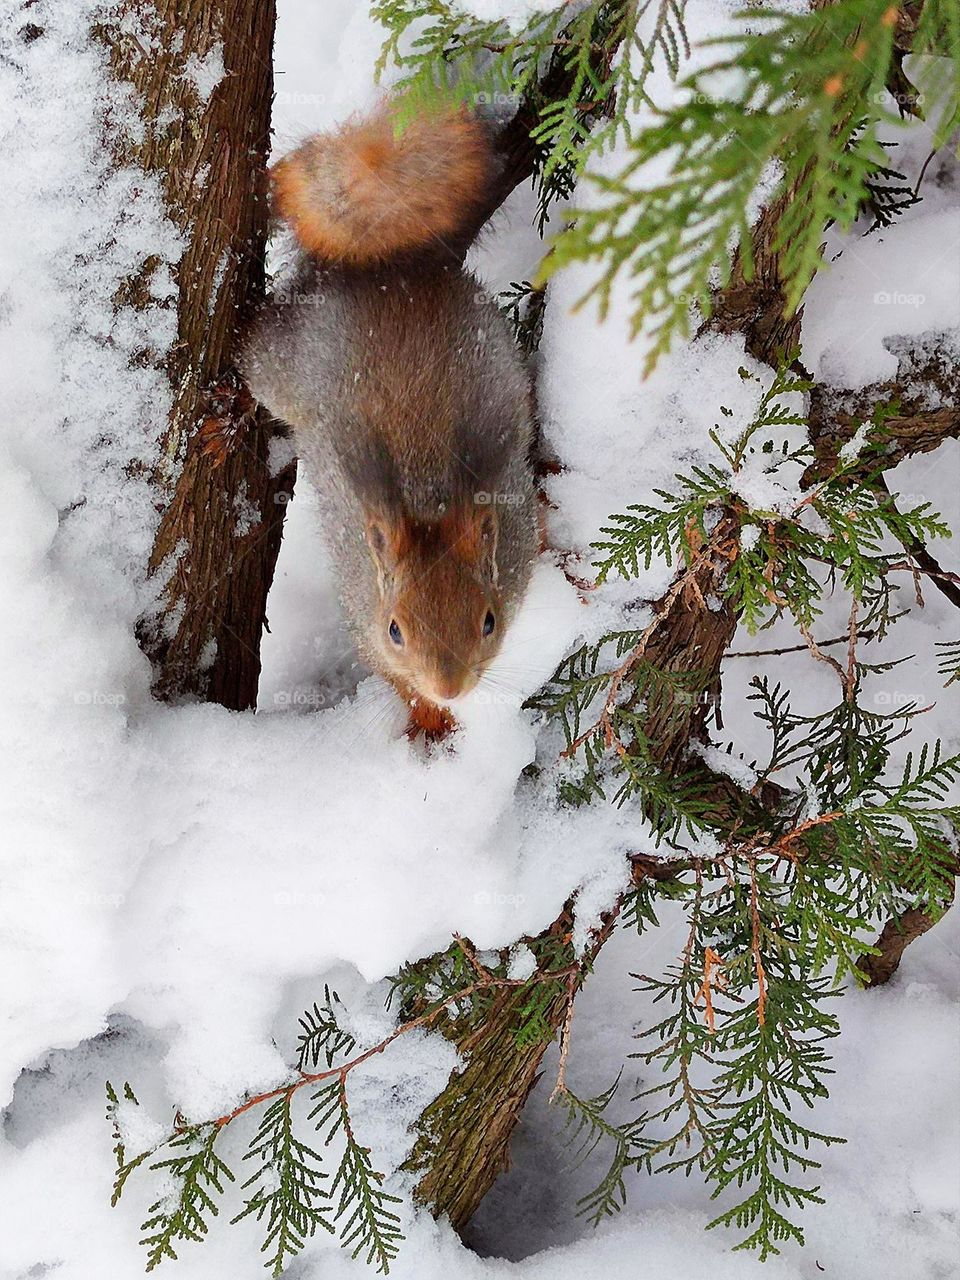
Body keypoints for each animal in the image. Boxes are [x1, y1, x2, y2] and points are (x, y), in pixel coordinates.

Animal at [240, 104, 542, 737]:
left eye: (489, 620)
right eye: (394, 630)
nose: (451, 688)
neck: (428, 494)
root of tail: (385, 270)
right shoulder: (362, 610)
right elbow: (393, 679)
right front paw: (428, 716)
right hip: (277, 362)